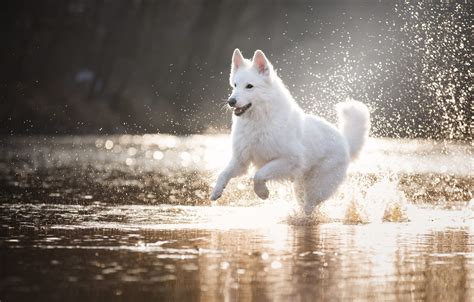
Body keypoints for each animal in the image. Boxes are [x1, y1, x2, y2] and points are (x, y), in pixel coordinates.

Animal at [211, 49, 370, 215]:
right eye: (235, 85)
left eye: (249, 86)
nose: (231, 101)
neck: (259, 121)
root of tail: (345, 142)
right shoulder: (240, 160)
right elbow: (223, 173)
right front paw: (216, 191)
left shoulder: (289, 160)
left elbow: (259, 174)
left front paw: (262, 193)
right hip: (300, 186)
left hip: (317, 186)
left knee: (310, 205)